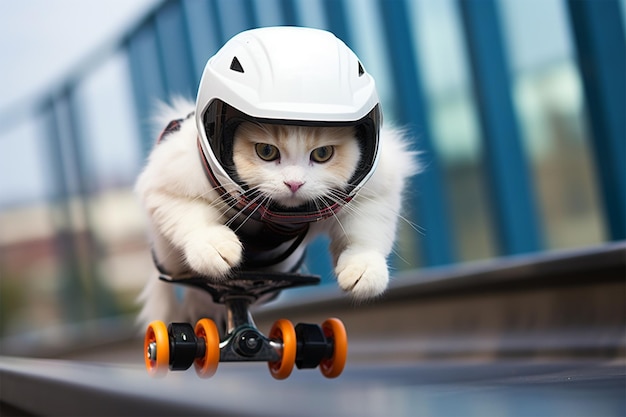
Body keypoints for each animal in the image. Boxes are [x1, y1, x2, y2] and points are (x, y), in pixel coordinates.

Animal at [137, 99, 420, 326]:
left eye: (323, 153)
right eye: (266, 151)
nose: (294, 184)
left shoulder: (377, 190)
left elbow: (365, 233)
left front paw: (364, 270)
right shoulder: (167, 183)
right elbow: (192, 217)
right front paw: (214, 247)